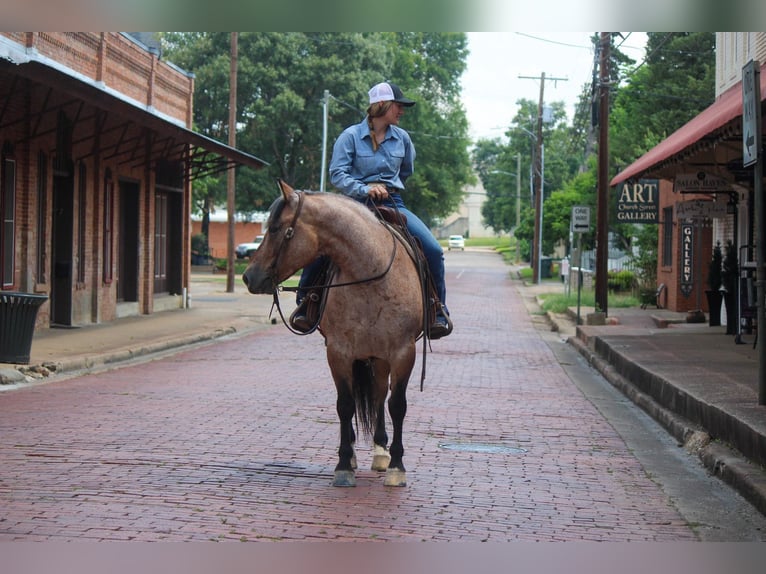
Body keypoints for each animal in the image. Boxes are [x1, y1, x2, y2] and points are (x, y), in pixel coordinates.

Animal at [242, 182, 426, 488]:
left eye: (277, 228)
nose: (248, 276)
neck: (371, 273)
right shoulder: (338, 352)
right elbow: (345, 405)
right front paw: (343, 465)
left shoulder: (403, 352)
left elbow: (397, 405)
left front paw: (397, 467)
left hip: (381, 357)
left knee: (379, 395)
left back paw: (381, 451)